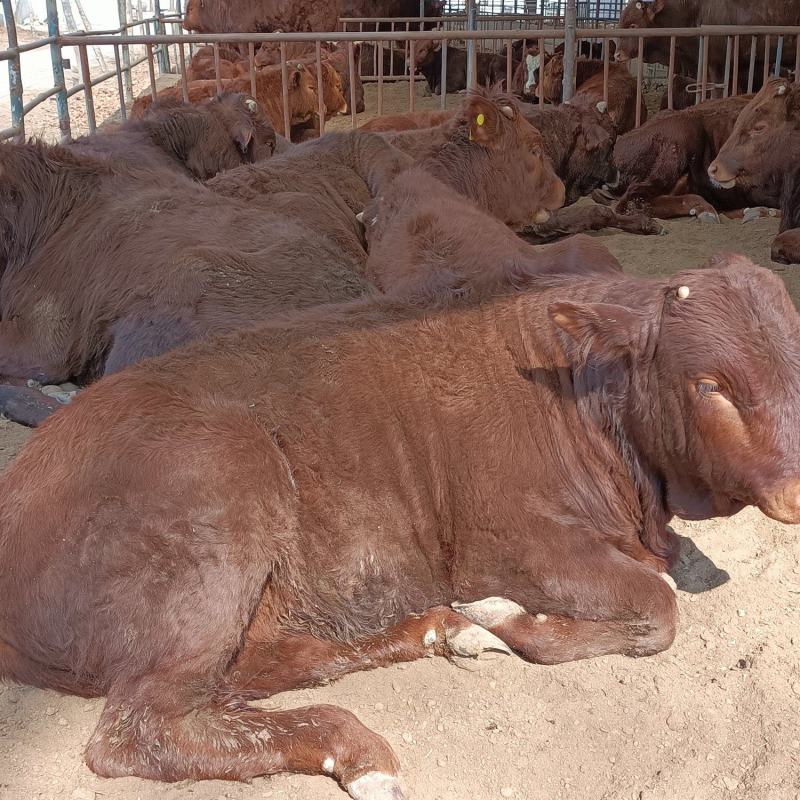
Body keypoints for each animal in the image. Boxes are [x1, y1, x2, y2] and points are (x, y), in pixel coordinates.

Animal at [1, 256, 800, 800]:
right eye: (710, 385)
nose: (796, 486)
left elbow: (671, 575)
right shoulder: (508, 541)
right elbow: (657, 606)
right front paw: (506, 618)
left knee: (261, 668)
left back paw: (434, 633)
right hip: (221, 490)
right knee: (141, 727)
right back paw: (356, 745)